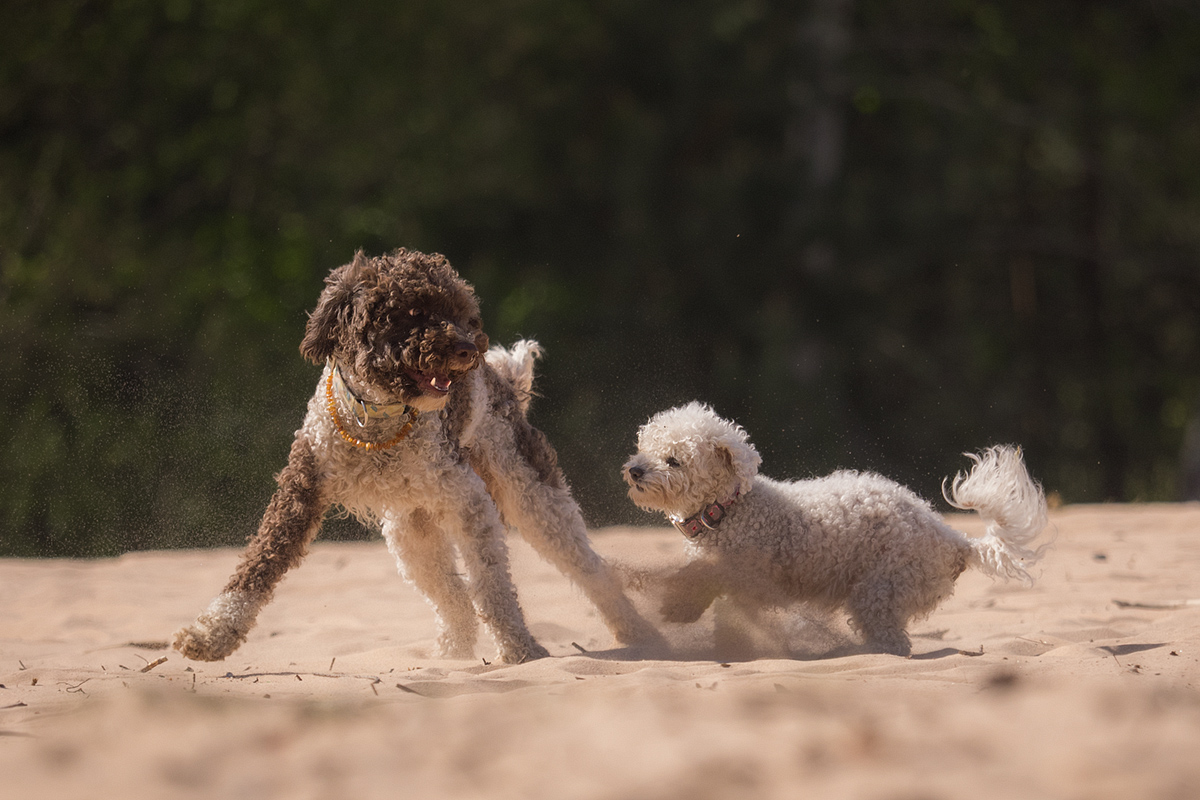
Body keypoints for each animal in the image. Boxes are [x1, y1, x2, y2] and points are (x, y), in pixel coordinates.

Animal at [624, 400, 1046, 657]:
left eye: (674, 460)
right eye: (645, 446)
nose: (635, 469)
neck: (728, 510)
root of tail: (952, 538)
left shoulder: (746, 571)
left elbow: (703, 580)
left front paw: (676, 607)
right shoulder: (739, 590)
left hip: (881, 590)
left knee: (894, 643)